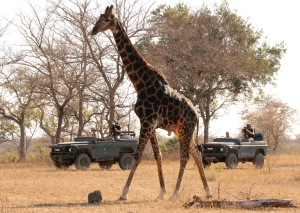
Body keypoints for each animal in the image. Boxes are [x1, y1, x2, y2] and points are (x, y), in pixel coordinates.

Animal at [90, 5, 212, 201]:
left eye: (107, 19)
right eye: (99, 18)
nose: (93, 30)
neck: (140, 83)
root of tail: (197, 115)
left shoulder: (147, 121)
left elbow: (138, 156)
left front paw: (124, 193)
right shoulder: (150, 123)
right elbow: (157, 155)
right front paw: (161, 191)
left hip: (186, 129)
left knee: (185, 156)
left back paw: (176, 193)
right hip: (182, 130)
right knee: (196, 153)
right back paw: (207, 191)